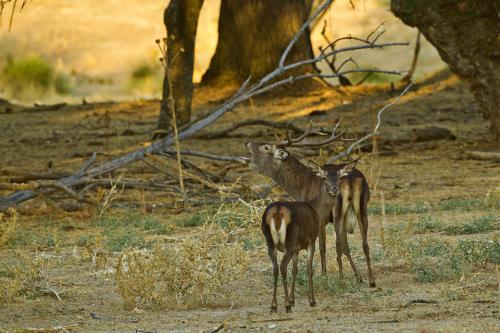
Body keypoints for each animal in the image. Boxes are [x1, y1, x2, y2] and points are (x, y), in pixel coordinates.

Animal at [241, 120, 376, 286]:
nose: (247, 142)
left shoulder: (320, 216)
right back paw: (371, 280)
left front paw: (324, 276)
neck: (301, 186)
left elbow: (322, 247)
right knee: (363, 243)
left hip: (338, 211)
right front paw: (358, 276)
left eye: (265, 147)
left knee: (338, 244)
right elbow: (344, 245)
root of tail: (352, 180)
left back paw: (341, 278)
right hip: (363, 206)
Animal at [262, 160, 356, 310]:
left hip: (270, 242)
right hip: (289, 240)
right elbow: (309, 269)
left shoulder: (296, 248)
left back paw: (274, 305)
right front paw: (311, 300)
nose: (335, 189)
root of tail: (277, 213)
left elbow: (295, 270)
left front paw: (293, 300)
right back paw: (286, 305)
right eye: (324, 178)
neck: (316, 209)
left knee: (276, 268)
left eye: (339, 177)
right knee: (282, 267)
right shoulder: (311, 240)